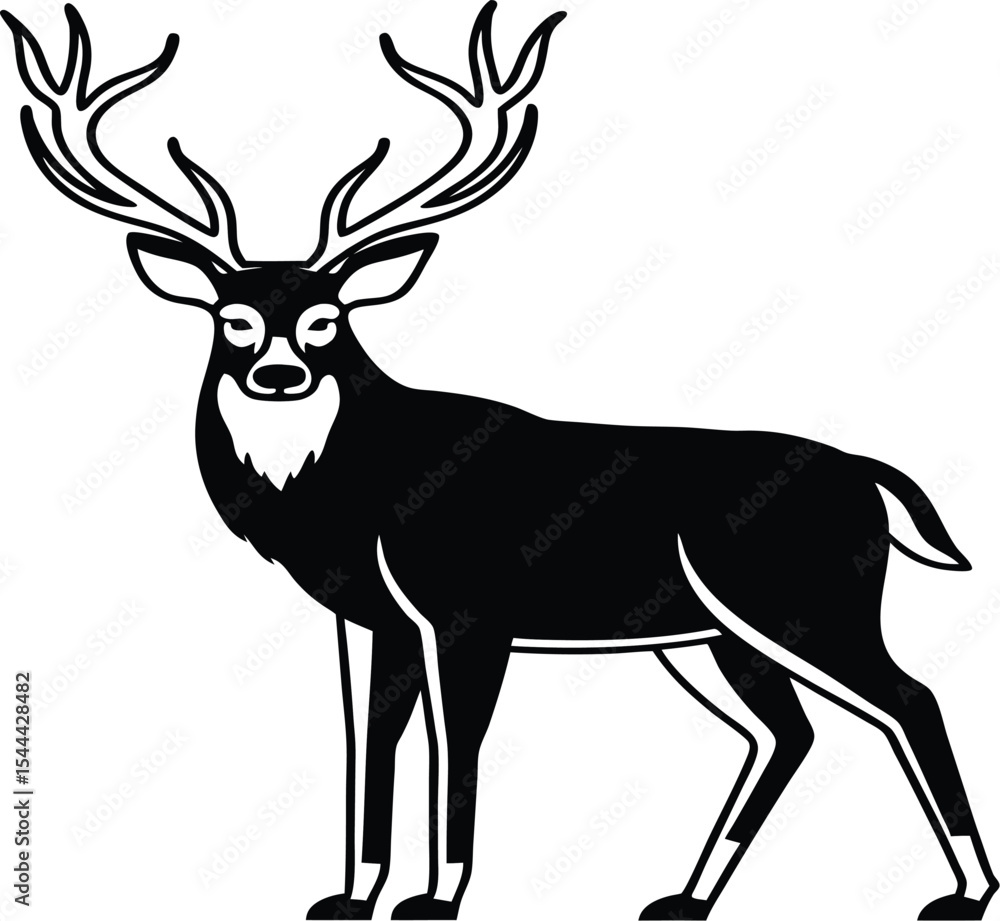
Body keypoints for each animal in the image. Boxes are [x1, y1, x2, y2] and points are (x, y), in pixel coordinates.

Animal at [4, 3, 997, 919]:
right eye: (233, 318)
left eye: (327, 318)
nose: (278, 373)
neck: (356, 494)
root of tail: (869, 475)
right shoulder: (373, 622)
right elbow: (369, 745)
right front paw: (351, 894)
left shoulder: (469, 606)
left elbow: (457, 746)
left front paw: (436, 896)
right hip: (714, 633)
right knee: (788, 733)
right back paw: (682, 897)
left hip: (801, 599)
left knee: (911, 698)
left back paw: (963, 892)